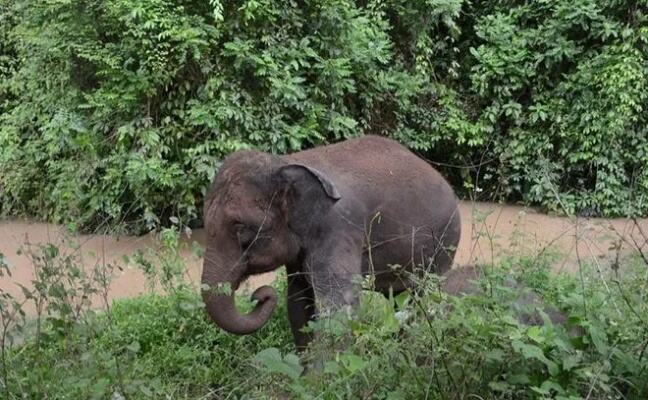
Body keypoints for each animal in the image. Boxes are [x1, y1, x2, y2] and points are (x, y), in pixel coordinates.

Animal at [202, 135, 460, 350]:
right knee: (401, 299)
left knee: (422, 298)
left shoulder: (338, 229)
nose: (259, 295)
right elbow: (298, 304)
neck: (285, 162)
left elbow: (339, 309)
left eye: (240, 227)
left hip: (442, 244)